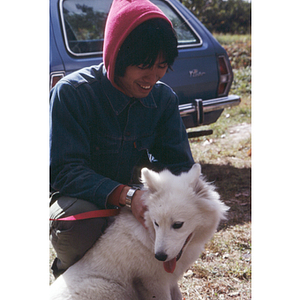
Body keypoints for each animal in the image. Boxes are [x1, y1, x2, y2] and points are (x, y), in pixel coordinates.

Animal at [49, 164, 227, 300]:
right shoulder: (153, 283)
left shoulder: (169, 279)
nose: (159, 256)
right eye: (156, 223)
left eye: (178, 225)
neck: (150, 236)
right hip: (110, 288)